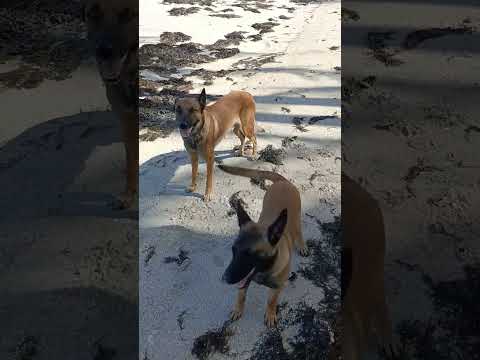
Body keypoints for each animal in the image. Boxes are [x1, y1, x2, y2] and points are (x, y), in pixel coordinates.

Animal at [82, 0, 138, 208]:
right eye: (94, 13)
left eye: (128, 14)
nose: (104, 51)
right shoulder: (127, 120)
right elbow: (131, 160)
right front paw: (129, 195)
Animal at [218, 165, 308, 328]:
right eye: (233, 250)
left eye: (250, 254)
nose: (224, 278)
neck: (264, 269)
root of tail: (282, 181)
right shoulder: (244, 282)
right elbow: (241, 295)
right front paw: (238, 309)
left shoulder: (277, 288)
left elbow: (271, 301)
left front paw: (271, 314)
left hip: (296, 219)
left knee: (299, 232)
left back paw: (302, 245)